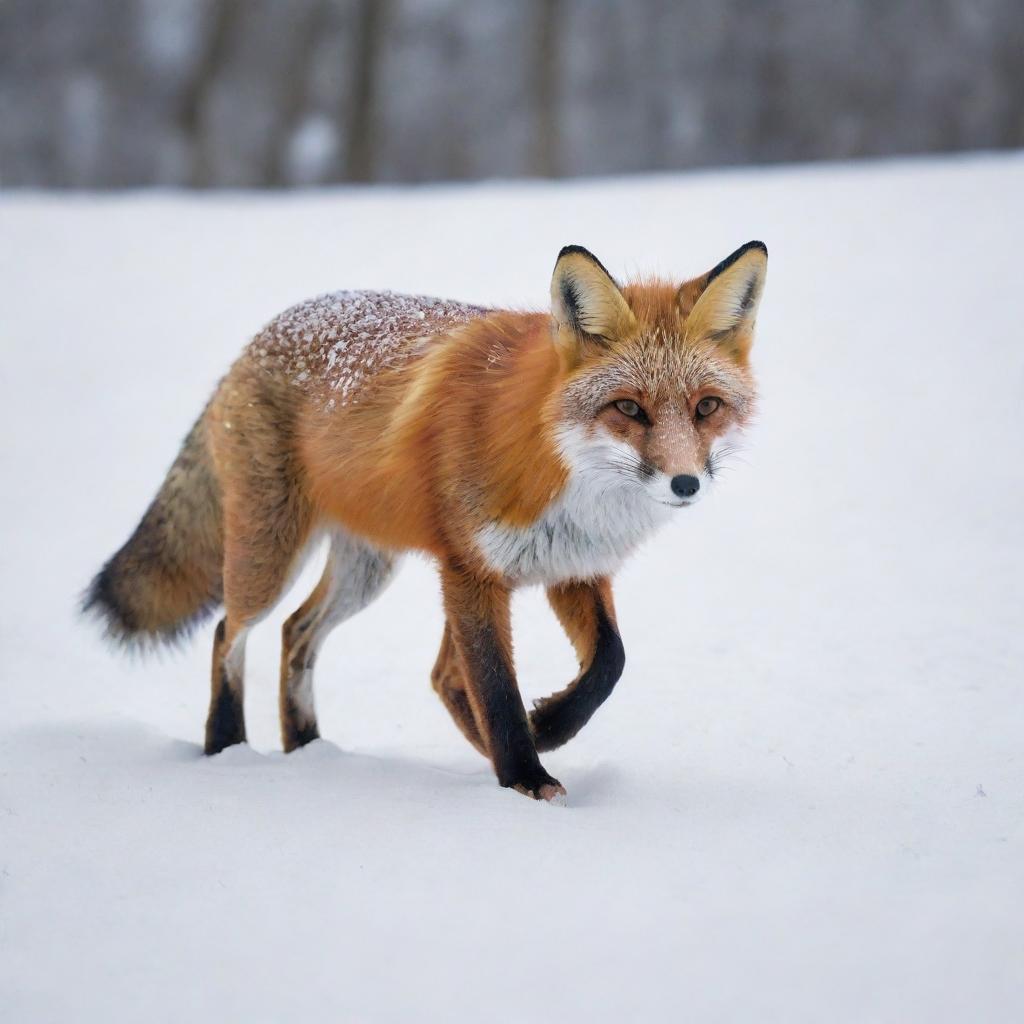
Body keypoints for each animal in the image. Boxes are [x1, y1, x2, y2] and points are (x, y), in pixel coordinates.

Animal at [81, 241, 770, 798]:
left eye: (706, 407)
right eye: (628, 408)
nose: (686, 483)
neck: (559, 471)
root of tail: (258, 338)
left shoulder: (571, 568)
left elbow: (607, 663)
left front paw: (545, 726)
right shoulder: (470, 572)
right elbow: (493, 685)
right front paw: (526, 777)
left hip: (367, 569)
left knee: (298, 633)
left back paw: (309, 749)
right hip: (269, 554)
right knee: (230, 631)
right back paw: (226, 746)